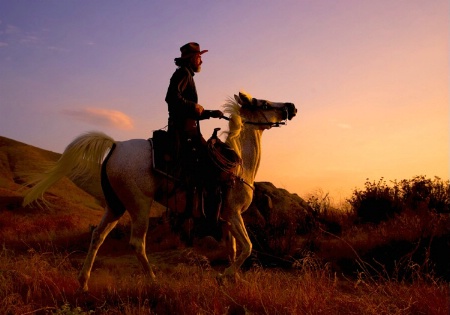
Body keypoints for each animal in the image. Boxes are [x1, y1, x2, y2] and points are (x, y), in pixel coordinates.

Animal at [23, 90, 296, 292]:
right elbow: (247, 247)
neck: (238, 162)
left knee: (97, 236)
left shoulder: (227, 218)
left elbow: (234, 249)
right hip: (139, 205)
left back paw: (83, 282)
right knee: (137, 243)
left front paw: (234, 280)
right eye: (264, 103)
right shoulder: (232, 214)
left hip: (115, 206)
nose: (291, 106)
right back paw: (153, 280)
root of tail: (115, 146)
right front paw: (224, 277)